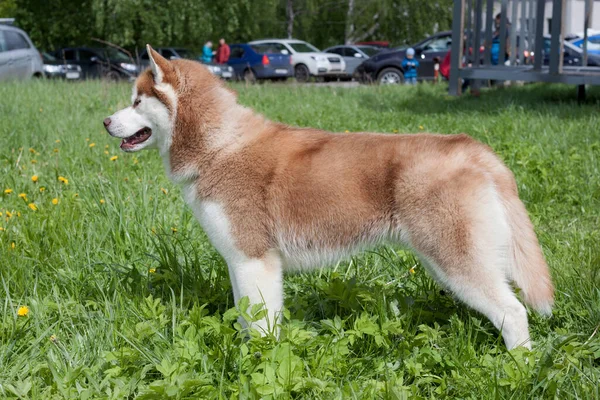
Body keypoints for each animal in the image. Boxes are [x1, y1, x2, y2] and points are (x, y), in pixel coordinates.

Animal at [103, 45, 552, 348]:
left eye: (137, 101)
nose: (106, 121)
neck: (219, 147)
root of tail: (474, 147)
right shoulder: (241, 263)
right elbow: (248, 318)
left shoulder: (255, 260)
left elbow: (261, 328)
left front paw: (254, 364)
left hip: (455, 259)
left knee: (513, 312)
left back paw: (519, 368)